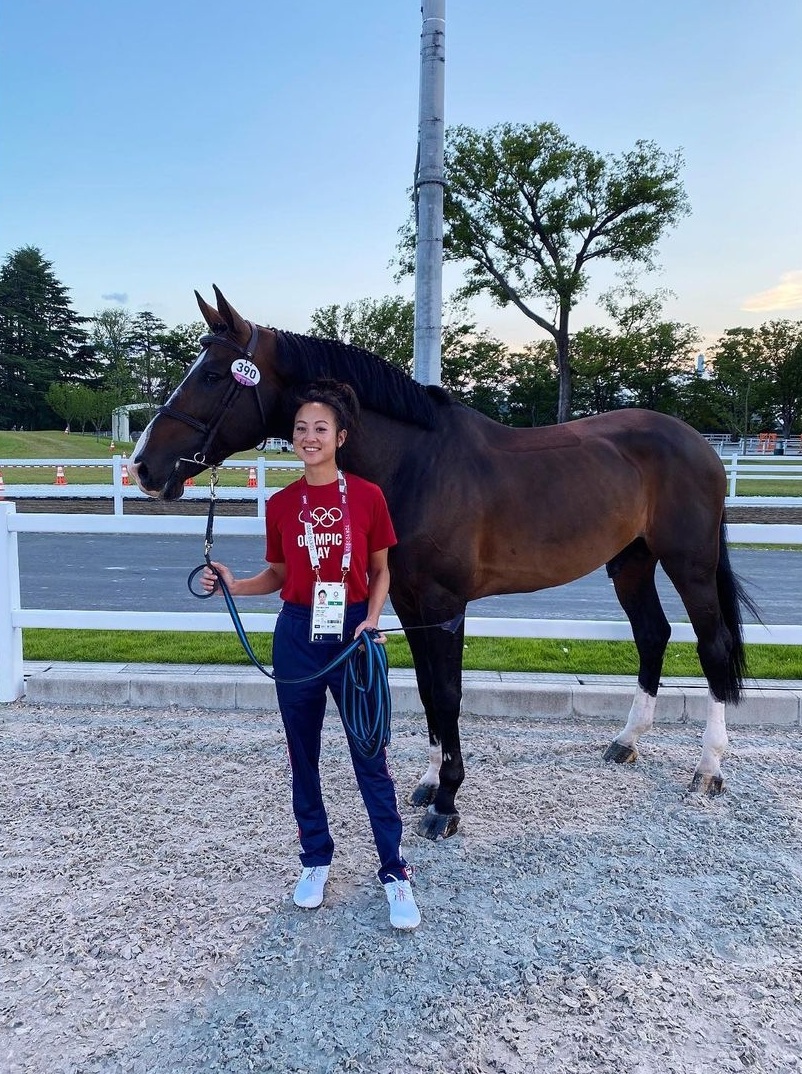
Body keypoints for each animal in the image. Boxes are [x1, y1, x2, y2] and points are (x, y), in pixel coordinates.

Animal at [130, 286, 756, 839]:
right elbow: (430, 691)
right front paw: (432, 783)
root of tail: (699, 444)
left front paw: (448, 804)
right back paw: (628, 741)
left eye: (213, 375)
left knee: (713, 646)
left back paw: (708, 769)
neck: (418, 465)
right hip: (630, 562)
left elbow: (450, 693)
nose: (142, 466)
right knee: (652, 634)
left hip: (690, 563)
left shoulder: (445, 605)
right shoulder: (409, 604)